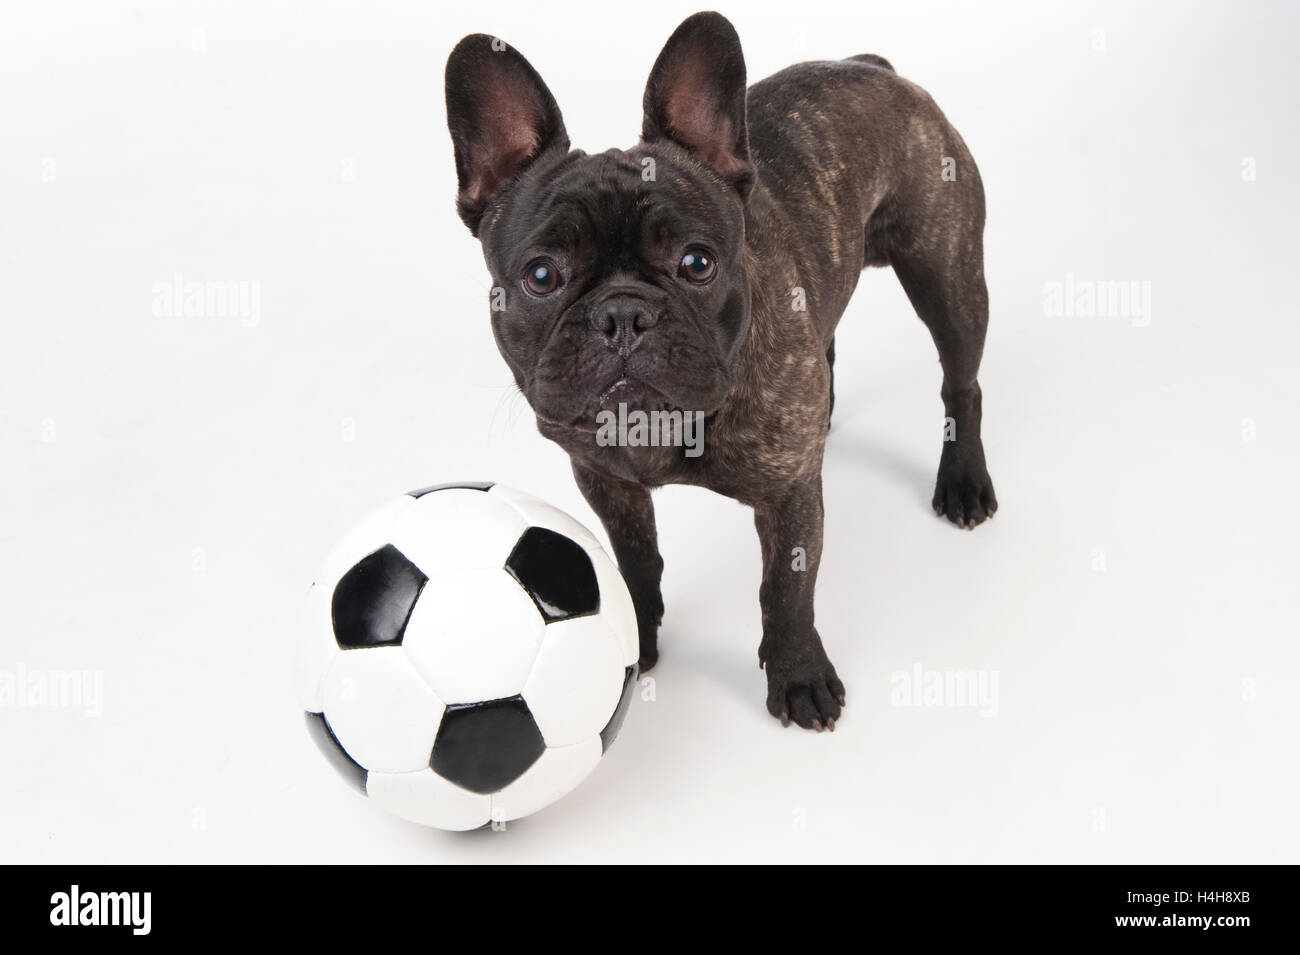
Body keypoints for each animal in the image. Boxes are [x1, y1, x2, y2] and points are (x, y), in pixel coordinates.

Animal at [444, 9, 993, 732]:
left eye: (697, 263)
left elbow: (785, 589)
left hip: (946, 274)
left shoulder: (789, 500)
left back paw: (964, 481)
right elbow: (634, 559)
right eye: (541, 276)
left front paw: (797, 675)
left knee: (962, 383)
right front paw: (636, 638)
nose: (623, 313)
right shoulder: (601, 475)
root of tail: (873, 66)